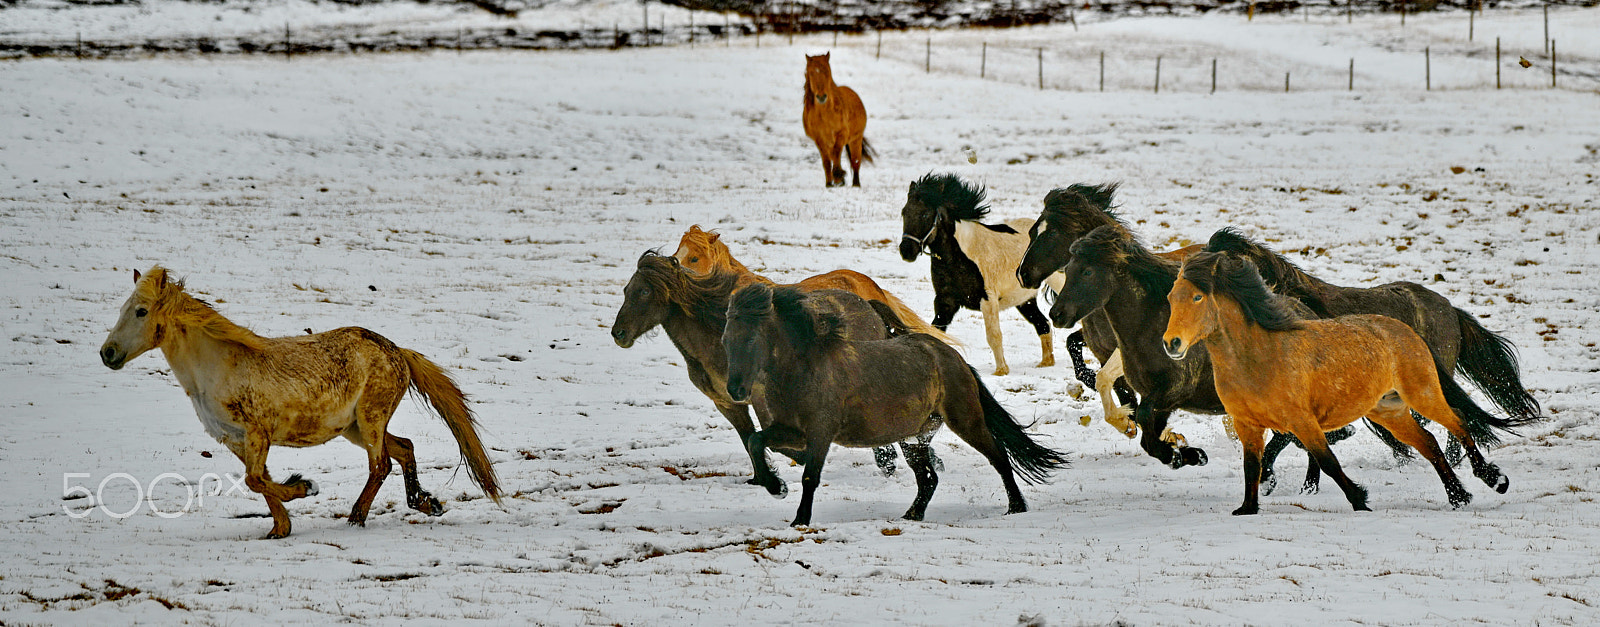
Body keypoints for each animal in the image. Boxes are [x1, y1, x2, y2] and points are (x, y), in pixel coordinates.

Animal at [97, 267, 496, 537]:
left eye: (141, 311)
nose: (108, 353)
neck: (218, 367)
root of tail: (397, 351)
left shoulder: (257, 433)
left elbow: (255, 480)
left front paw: (305, 487)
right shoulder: (234, 439)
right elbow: (259, 480)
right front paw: (280, 529)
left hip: (370, 418)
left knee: (381, 464)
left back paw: (356, 518)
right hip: (355, 426)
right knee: (404, 448)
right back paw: (426, 504)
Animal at [800, 54, 876, 187]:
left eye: (827, 71)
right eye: (811, 73)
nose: (821, 96)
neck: (823, 114)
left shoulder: (841, 134)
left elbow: (837, 154)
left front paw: (839, 175)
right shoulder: (819, 139)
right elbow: (826, 161)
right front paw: (830, 183)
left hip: (856, 139)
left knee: (855, 161)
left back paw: (855, 184)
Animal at [1164, 249, 1523, 515]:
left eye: (1197, 298)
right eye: (1171, 297)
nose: (1172, 343)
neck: (1259, 357)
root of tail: (1406, 330)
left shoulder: (1302, 420)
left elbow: (1327, 460)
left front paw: (1360, 499)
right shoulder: (1247, 424)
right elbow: (1252, 466)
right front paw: (1248, 507)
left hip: (1422, 394)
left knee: (1458, 423)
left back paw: (1495, 480)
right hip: (1389, 410)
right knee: (1429, 443)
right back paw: (1458, 496)